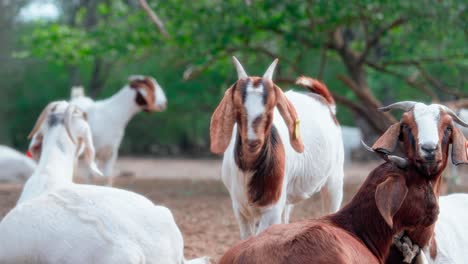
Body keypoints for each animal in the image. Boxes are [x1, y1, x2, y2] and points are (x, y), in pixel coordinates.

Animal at [210, 57, 346, 239]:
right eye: (237, 107)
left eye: (271, 107)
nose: (253, 141)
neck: (248, 170)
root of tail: (327, 104)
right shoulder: (240, 208)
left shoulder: (272, 208)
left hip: (335, 179)